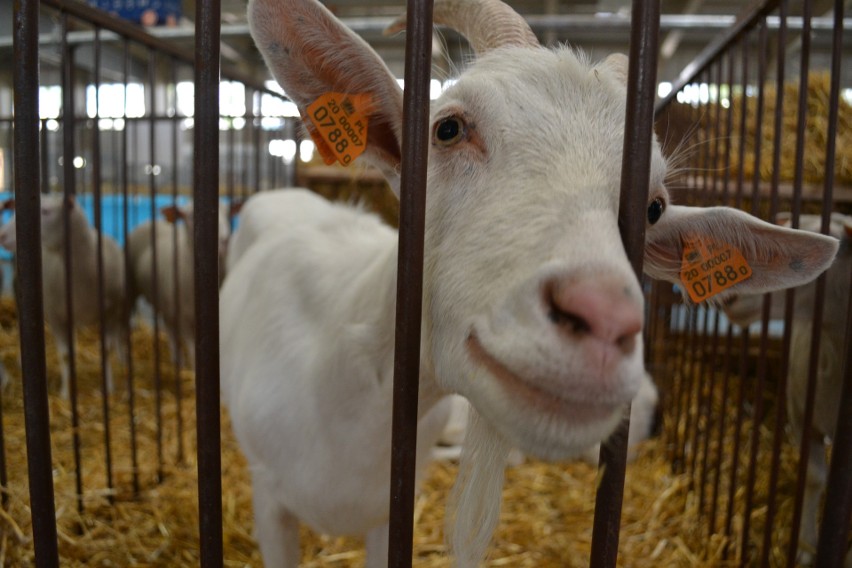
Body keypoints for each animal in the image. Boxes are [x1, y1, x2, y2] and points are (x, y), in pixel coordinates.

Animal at [0, 195, 126, 400]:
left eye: (46, 211)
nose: (2, 235)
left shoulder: (111, 312)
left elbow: (106, 350)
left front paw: (108, 387)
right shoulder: (57, 316)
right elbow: (65, 355)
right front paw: (67, 392)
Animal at [126, 202, 230, 370]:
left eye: (228, 214)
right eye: (190, 216)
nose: (224, 241)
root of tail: (150, 220)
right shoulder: (184, 320)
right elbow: (193, 352)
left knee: (169, 327)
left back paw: (177, 360)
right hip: (132, 287)